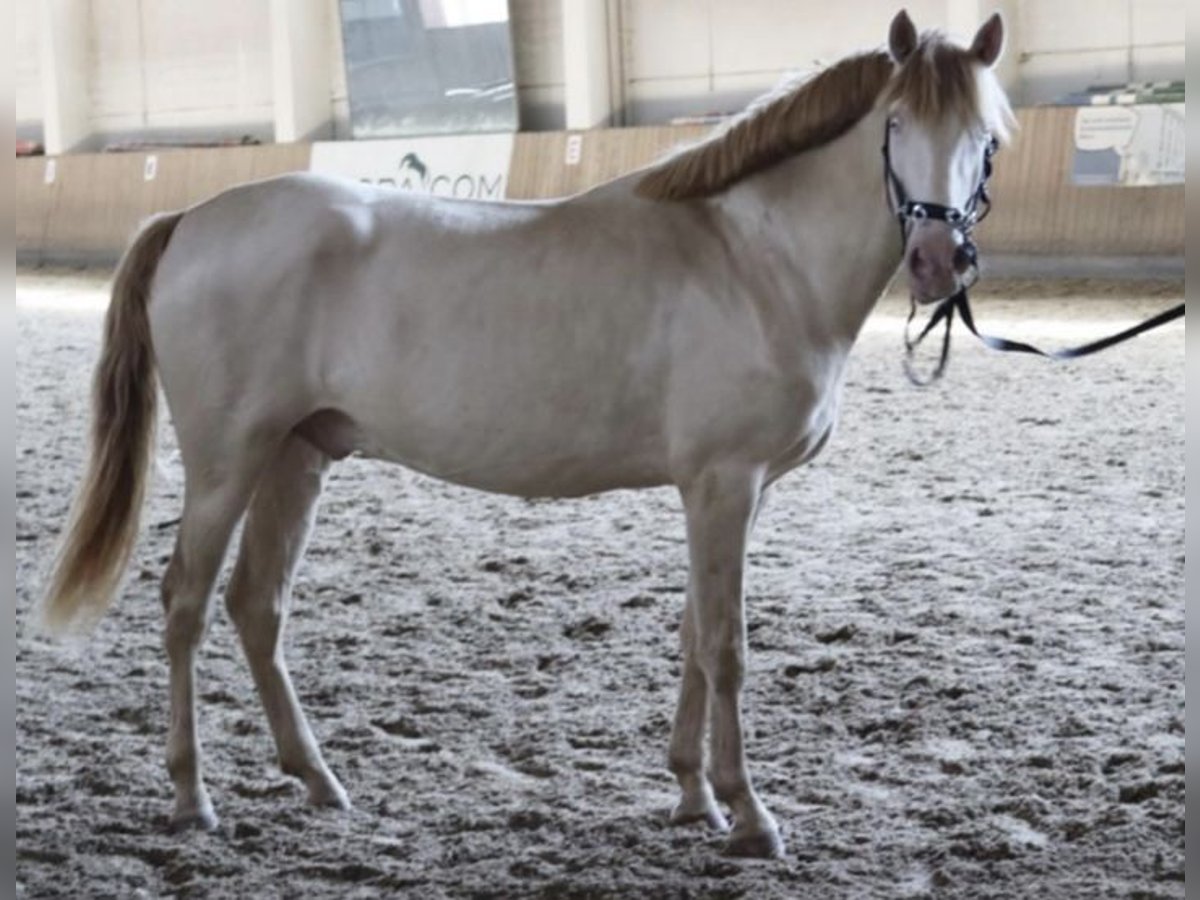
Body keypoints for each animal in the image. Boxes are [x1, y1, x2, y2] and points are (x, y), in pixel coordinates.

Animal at [39, 10, 1012, 864]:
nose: (939, 262)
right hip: (228, 461)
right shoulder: (724, 483)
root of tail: (191, 220)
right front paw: (749, 816)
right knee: (186, 603)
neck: (752, 259)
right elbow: (727, 649)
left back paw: (317, 779)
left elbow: (695, 636)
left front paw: (693, 794)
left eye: (988, 137)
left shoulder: (730, 492)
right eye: (895, 124)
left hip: (296, 455)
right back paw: (191, 798)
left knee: (256, 605)